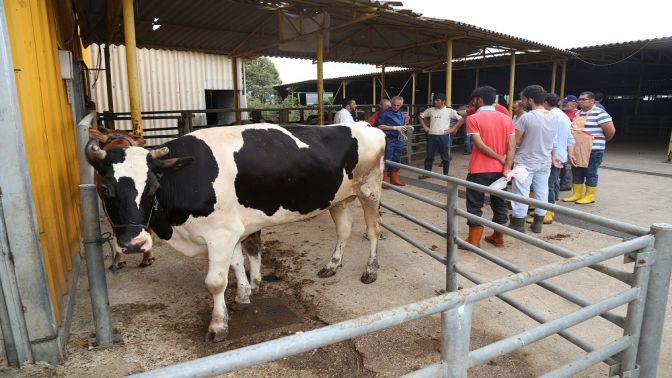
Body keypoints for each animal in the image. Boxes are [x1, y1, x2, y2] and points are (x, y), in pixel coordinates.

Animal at [86, 122, 386, 342]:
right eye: (104, 189)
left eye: (153, 187)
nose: (134, 244)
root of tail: (365, 125)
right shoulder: (230, 231)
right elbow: (238, 263)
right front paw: (243, 295)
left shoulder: (220, 234)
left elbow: (216, 282)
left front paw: (218, 325)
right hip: (338, 199)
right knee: (343, 231)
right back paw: (332, 266)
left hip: (370, 191)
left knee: (372, 232)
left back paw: (370, 270)